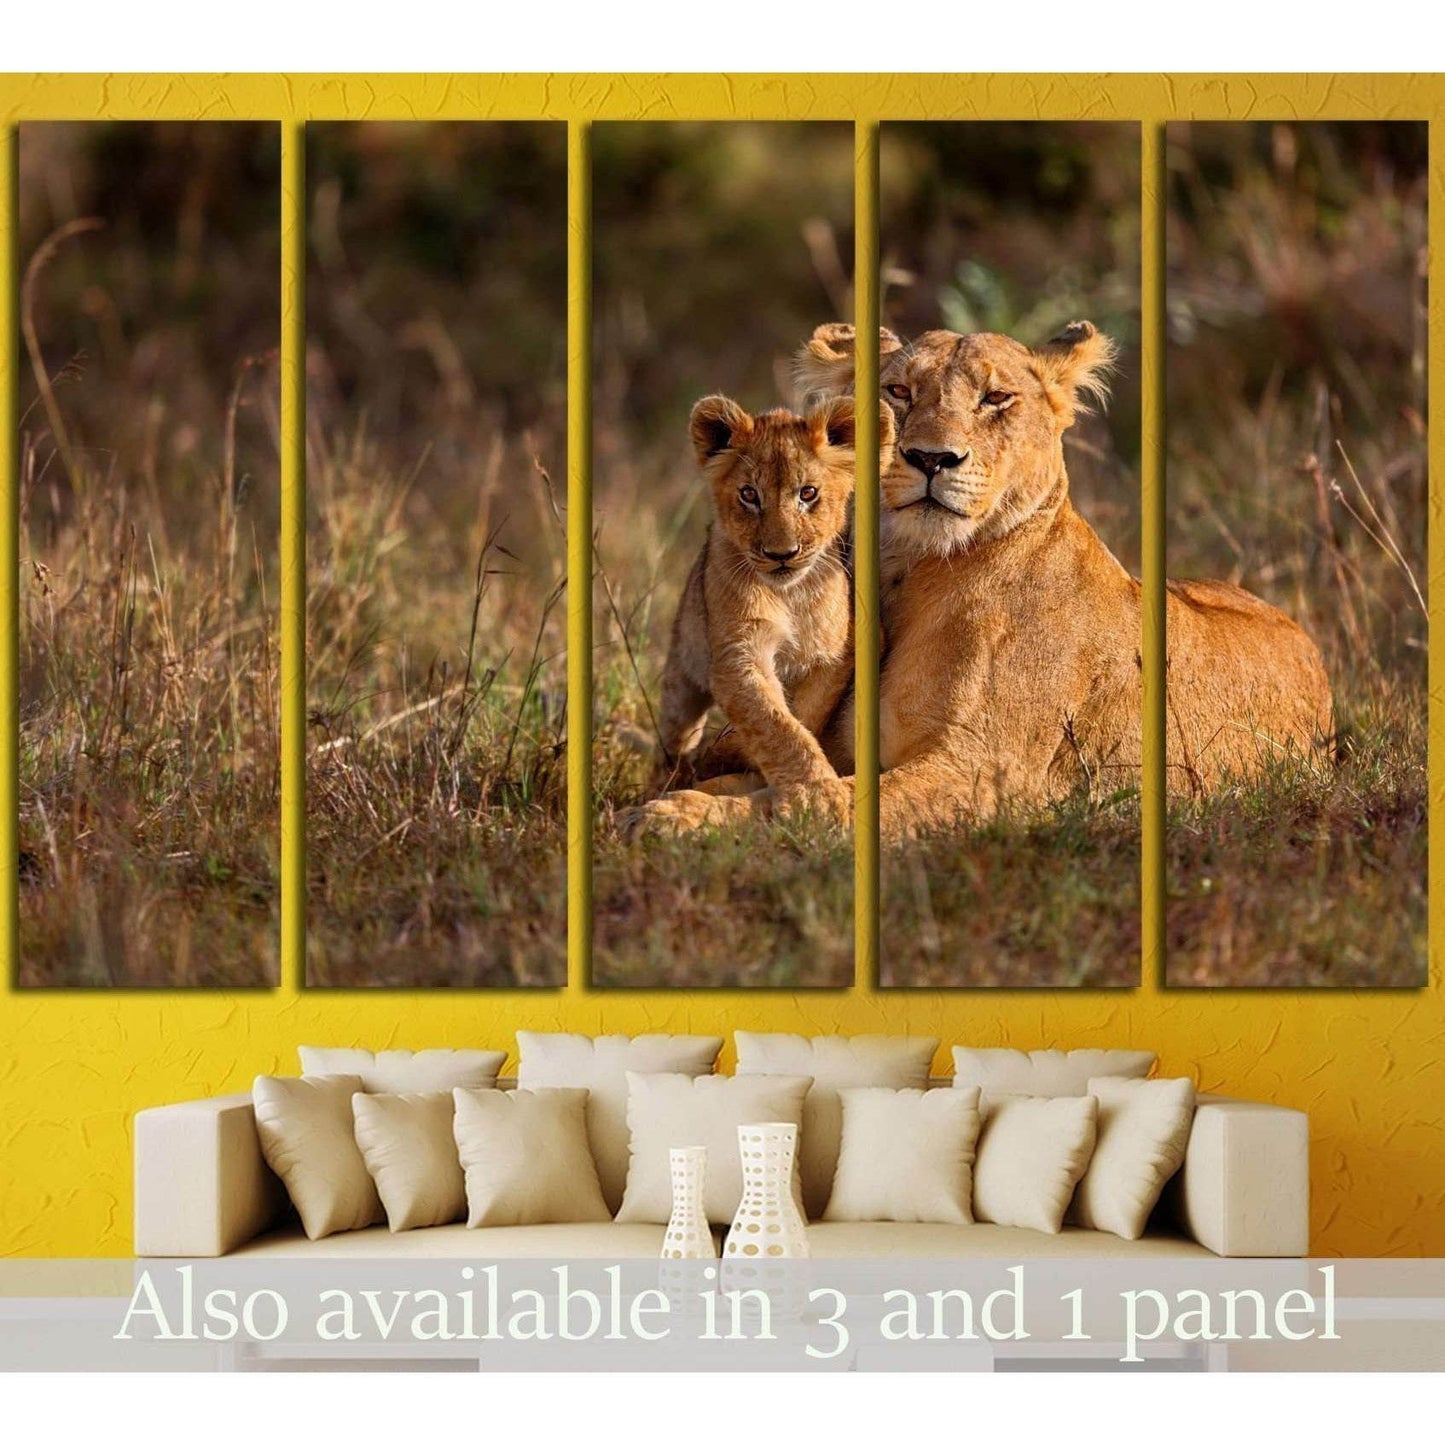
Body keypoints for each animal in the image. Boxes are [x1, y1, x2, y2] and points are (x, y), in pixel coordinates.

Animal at [651, 394, 893, 794]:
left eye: (808, 493)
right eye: (749, 495)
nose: (782, 554)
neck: (789, 596)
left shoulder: (838, 652)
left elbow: (803, 712)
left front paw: (733, 753)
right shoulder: (738, 653)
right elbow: (774, 724)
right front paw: (817, 792)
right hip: (681, 675)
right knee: (674, 737)